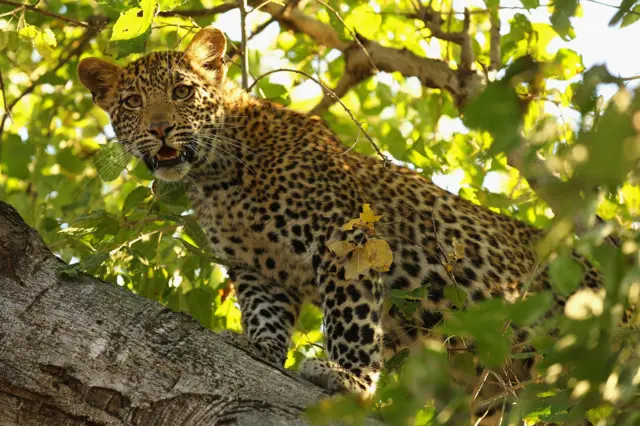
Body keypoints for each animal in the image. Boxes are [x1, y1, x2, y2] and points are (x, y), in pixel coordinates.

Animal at [77, 27, 612, 426]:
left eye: (182, 92)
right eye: (131, 102)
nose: (161, 128)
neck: (217, 176)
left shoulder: (344, 239)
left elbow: (350, 320)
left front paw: (349, 380)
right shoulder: (256, 270)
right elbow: (265, 315)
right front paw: (259, 347)